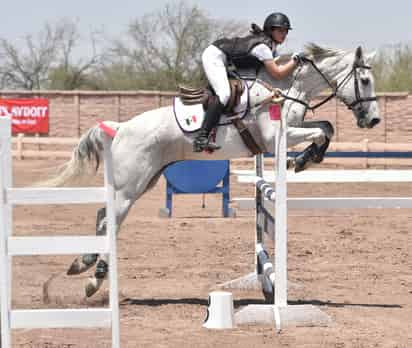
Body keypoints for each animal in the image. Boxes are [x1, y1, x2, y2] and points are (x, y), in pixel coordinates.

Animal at [45, 43, 380, 296]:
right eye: (364, 80)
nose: (373, 120)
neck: (286, 89)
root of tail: (121, 126)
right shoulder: (276, 138)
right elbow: (321, 131)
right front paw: (301, 160)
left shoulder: (294, 128)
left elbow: (327, 127)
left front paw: (305, 159)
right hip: (130, 188)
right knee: (111, 220)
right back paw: (94, 278)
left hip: (143, 182)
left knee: (103, 216)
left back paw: (83, 262)